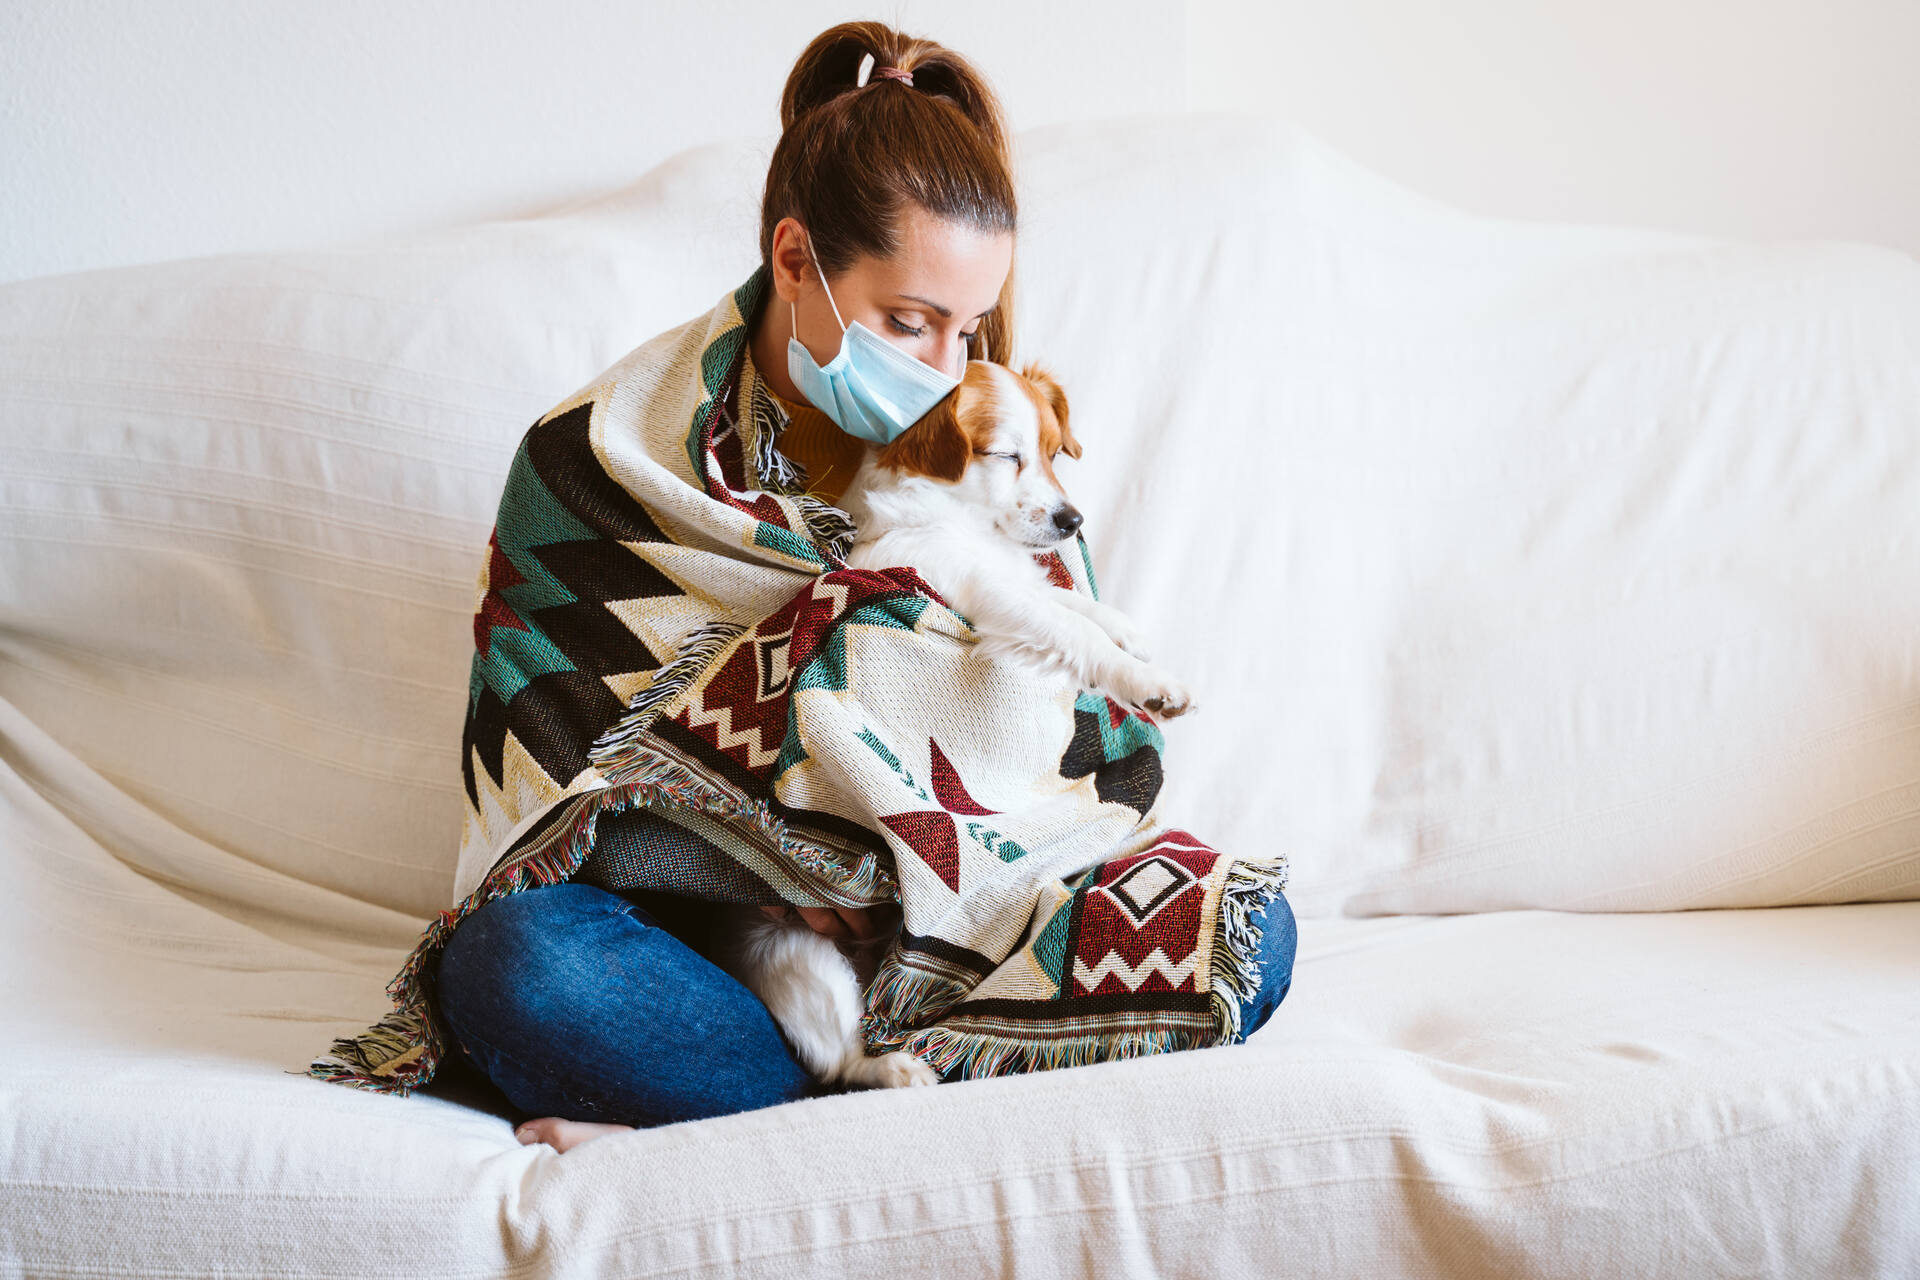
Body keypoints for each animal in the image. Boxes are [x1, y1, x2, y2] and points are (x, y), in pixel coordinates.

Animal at [714, 358, 1190, 1090]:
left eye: (1053, 454)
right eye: (1005, 455)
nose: (1072, 519)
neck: (965, 525)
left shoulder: (1014, 580)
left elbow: (1076, 606)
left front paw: (1129, 633)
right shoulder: (988, 597)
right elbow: (1069, 629)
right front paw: (1149, 683)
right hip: (796, 953)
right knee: (843, 1059)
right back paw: (901, 1070)